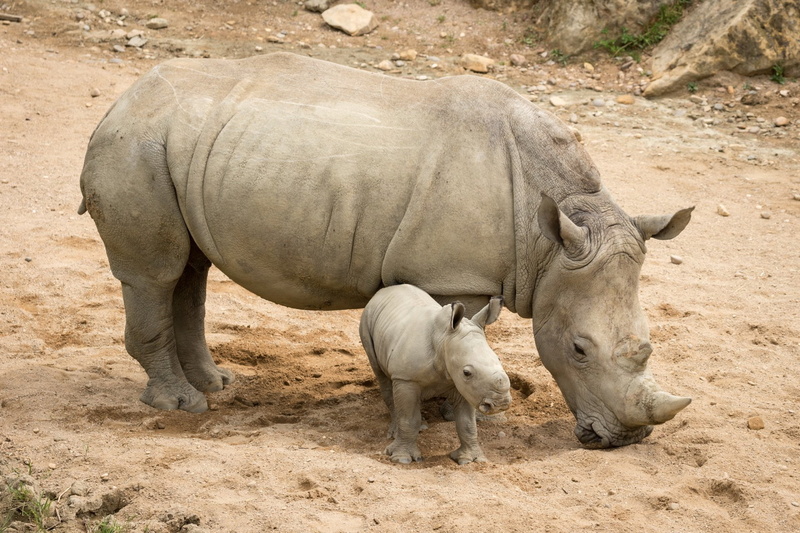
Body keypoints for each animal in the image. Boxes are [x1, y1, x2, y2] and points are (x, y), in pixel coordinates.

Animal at [360, 285, 511, 464]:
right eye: (467, 372)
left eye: (499, 359)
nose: (501, 403)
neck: (444, 340)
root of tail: (382, 291)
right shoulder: (406, 379)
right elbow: (408, 419)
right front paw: (402, 458)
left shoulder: (463, 386)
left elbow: (467, 424)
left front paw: (471, 459)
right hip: (366, 319)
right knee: (381, 374)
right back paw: (399, 432)